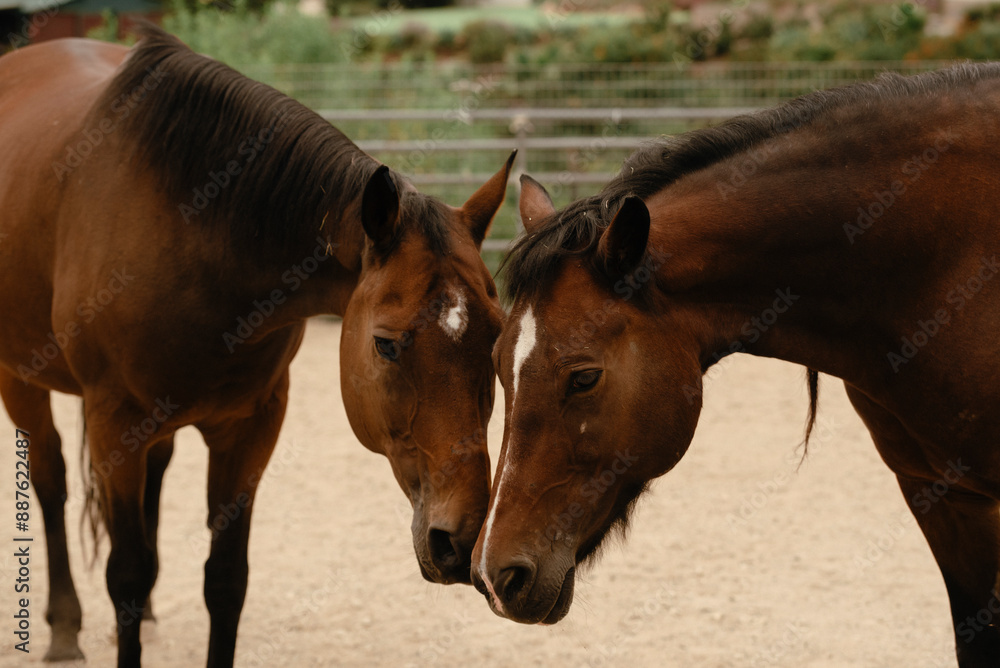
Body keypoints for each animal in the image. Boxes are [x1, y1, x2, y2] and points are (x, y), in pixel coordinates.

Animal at [0, 27, 510, 667]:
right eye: (386, 346)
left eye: (495, 338)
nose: (459, 541)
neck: (193, 237)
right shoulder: (116, 422)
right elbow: (126, 574)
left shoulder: (251, 427)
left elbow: (225, 580)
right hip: (21, 380)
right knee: (49, 481)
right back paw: (64, 628)